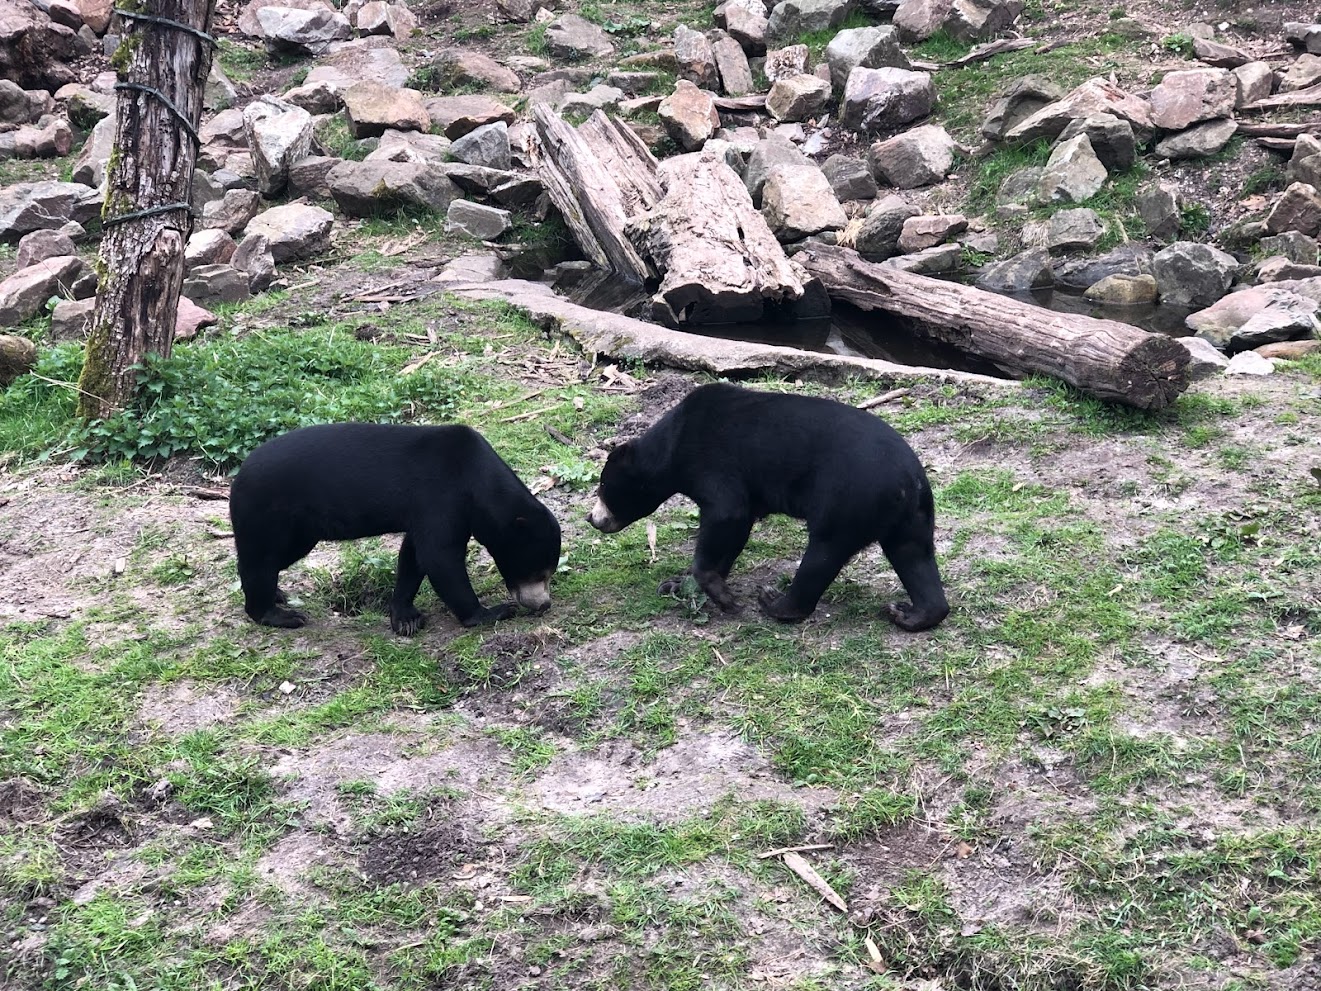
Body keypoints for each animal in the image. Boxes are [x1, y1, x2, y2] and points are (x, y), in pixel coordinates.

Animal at [229, 423, 561, 634]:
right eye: (537, 572)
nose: (543, 605)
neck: (477, 480)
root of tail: (238, 477)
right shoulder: (440, 497)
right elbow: (439, 557)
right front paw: (492, 612)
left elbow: (413, 557)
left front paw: (405, 618)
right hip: (268, 514)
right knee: (260, 562)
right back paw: (279, 615)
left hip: (298, 529)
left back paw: (278, 594)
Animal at [587, 383, 949, 631]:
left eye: (603, 488)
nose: (592, 518)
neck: (671, 447)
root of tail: (909, 479)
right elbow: (735, 531)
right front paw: (678, 584)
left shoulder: (713, 463)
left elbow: (726, 514)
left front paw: (724, 597)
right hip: (911, 518)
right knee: (913, 556)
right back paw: (911, 613)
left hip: (846, 502)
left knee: (823, 554)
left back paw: (774, 603)